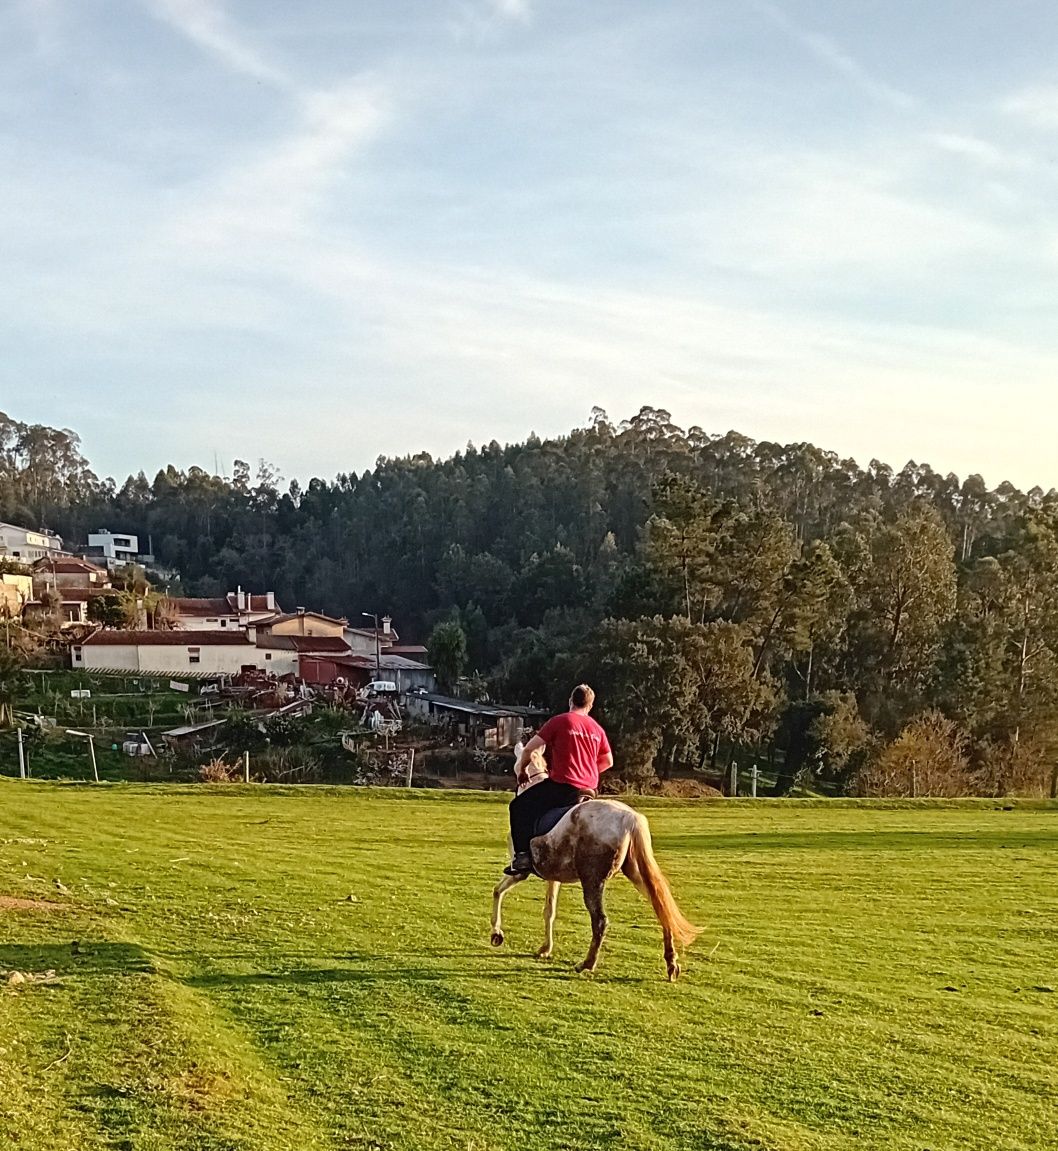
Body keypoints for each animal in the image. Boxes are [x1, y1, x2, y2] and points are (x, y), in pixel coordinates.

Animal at [490, 745, 704, 980]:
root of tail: (629, 818)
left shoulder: (520, 872)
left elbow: (498, 891)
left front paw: (496, 933)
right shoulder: (553, 877)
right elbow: (549, 910)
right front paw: (545, 949)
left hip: (592, 880)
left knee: (600, 920)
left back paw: (587, 963)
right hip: (636, 873)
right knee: (661, 909)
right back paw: (671, 963)